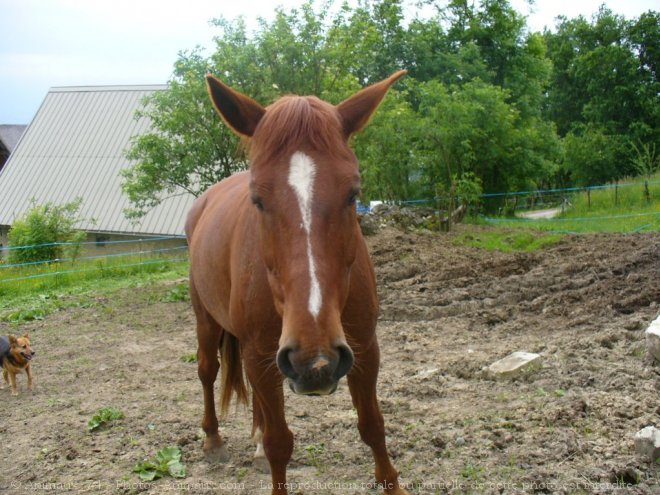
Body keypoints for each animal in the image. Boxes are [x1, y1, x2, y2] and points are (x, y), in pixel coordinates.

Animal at [186, 70, 410, 495]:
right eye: (257, 199)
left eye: (353, 193)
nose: (314, 362)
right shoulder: (260, 352)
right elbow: (280, 443)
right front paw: (264, 447)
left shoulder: (365, 346)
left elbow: (373, 425)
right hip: (207, 320)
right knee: (207, 370)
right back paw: (212, 439)